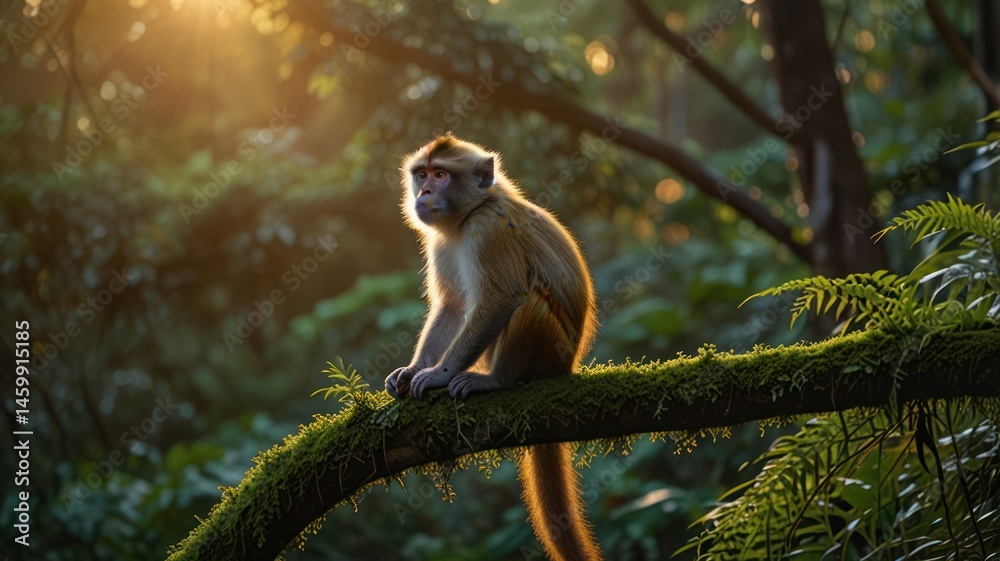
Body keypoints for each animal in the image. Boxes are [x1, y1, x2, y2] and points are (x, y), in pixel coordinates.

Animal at [385, 135, 601, 561]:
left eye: (441, 175)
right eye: (422, 175)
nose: (424, 192)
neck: (468, 214)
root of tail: (568, 364)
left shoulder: (488, 228)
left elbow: (502, 297)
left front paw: (439, 374)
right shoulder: (441, 240)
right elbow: (452, 306)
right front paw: (414, 369)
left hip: (549, 349)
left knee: (528, 299)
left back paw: (497, 379)